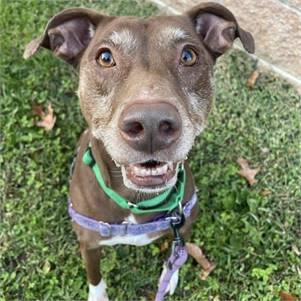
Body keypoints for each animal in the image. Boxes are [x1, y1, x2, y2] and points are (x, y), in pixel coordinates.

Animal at [24, 1, 253, 298]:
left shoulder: (183, 225)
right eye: (105, 57)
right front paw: (98, 296)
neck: (135, 200)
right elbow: (95, 276)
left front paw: (170, 277)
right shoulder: (88, 243)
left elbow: (175, 257)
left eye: (188, 55)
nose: (151, 124)